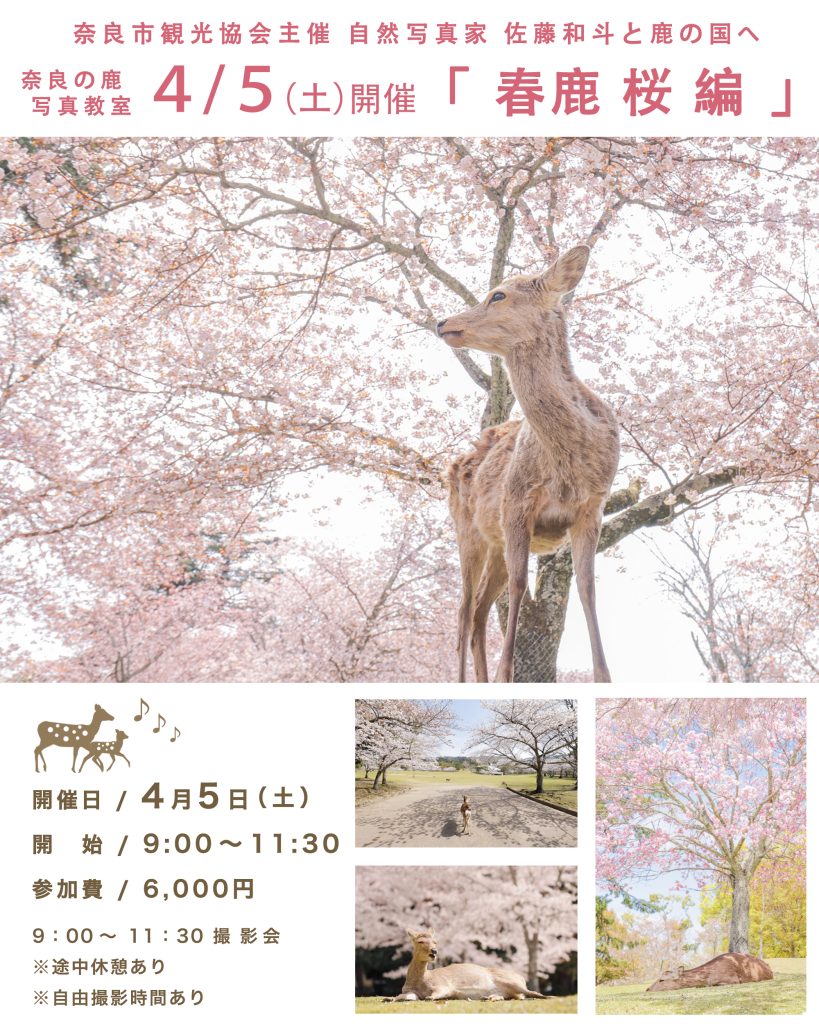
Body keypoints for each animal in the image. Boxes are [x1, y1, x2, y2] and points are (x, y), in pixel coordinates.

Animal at [386, 930, 546, 1002]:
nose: (434, 951)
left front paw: (430, 997)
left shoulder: (443, 985)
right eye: (420, 941)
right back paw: (489, 998)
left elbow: (437, 993)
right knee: (514, 996)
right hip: (508, 990)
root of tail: (521, 977)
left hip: (510, 981)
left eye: (435, 941)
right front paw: (389, 998)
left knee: (529, 993)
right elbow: (404, 996)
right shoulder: (410, 991)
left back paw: (545, 996)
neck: (421, 980)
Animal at [437, 244, 619, 683]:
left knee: (479, 611)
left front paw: (604, 676)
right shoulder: (516, 504)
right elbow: (522, 584)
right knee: (463, 612)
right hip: (467, 530)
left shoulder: (593, 508)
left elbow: (587, 587)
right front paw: (508, 671)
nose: (442, 321)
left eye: (498, 295)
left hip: (493, 542)